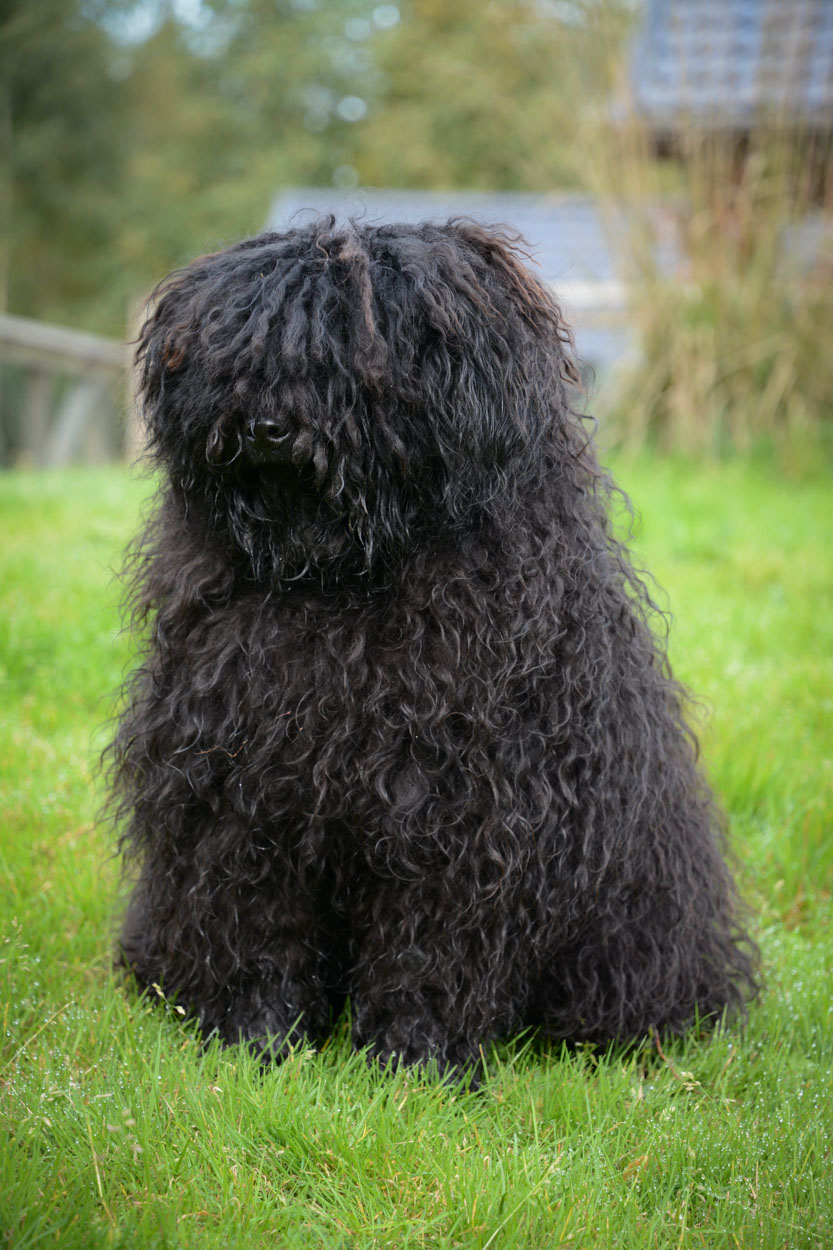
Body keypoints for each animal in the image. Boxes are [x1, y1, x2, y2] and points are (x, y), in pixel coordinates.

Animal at [110, 217, 757, 1077]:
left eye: (355, 355)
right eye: (243, 349)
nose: (264, 427)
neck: (338, 578)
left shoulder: (462, 809)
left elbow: (431, 951)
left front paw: (412, 1063)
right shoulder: (237, 788)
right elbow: (258, 926)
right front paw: (256, 1039)